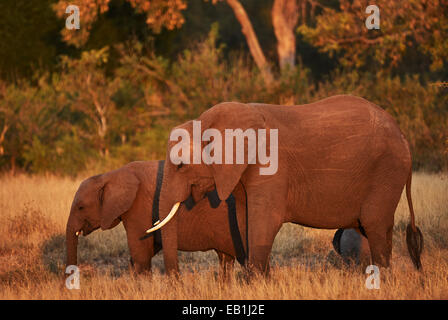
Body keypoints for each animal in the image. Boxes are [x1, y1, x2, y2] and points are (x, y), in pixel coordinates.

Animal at [147, 94, 424, 276]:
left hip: (387, 171)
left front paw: (257, 282)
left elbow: (264, 221)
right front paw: (260, 281)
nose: (177, 280)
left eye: (180, 165)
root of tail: (404, 136)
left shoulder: (271, 168)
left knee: (375, 226)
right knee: (371, 230)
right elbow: (244, 220)